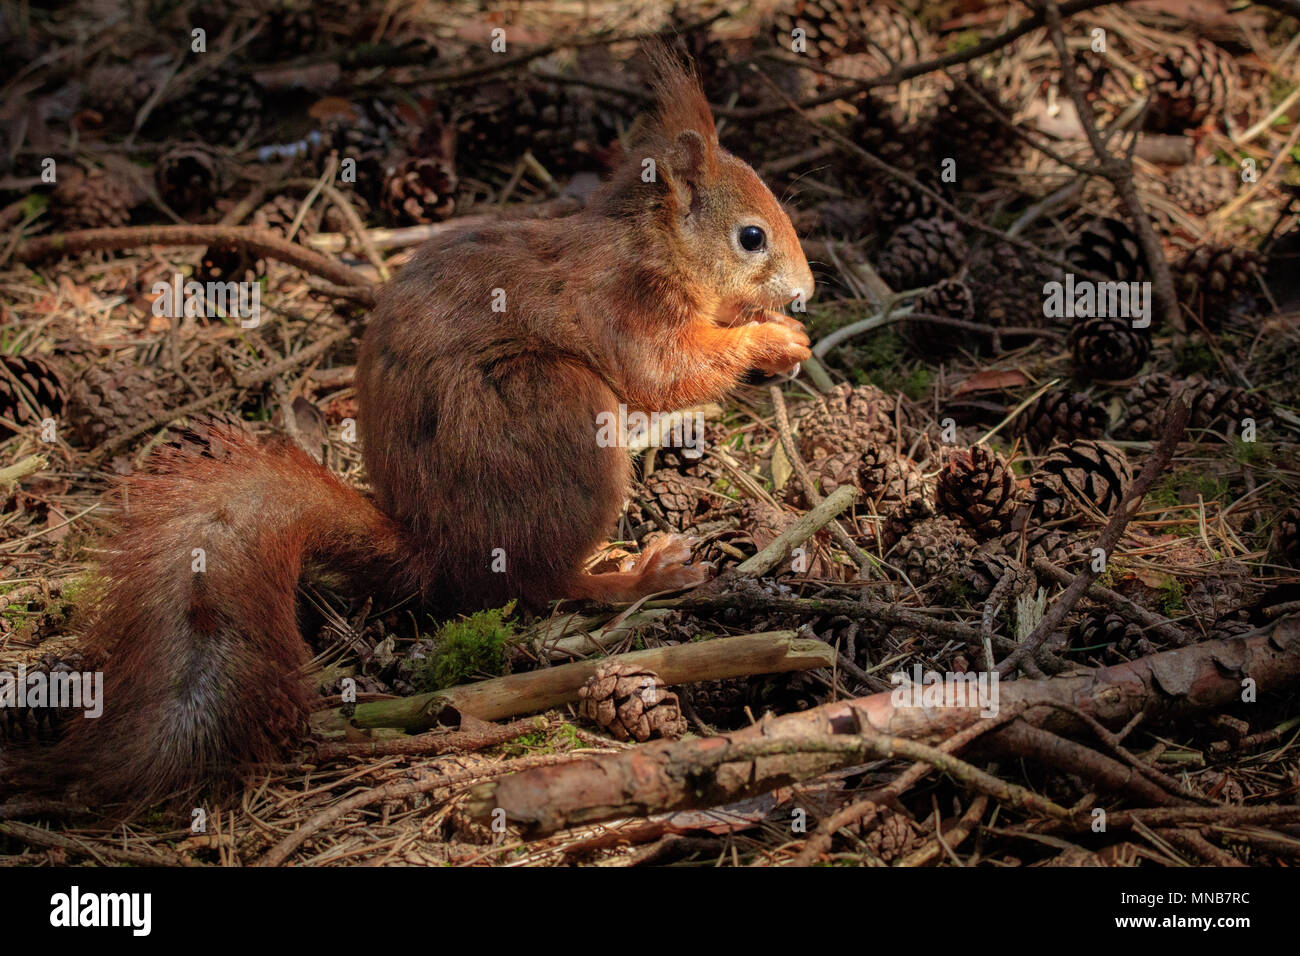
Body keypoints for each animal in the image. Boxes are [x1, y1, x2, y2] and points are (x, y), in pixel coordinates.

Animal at [21, 46, 814, 809]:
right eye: (751, 237)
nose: (806, 293)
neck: (653, 245)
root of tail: (437, 550)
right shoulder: (628, 307)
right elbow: (668, 374)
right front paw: (771, 342)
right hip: (558, 411)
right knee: (543, 583)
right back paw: (638, 574)